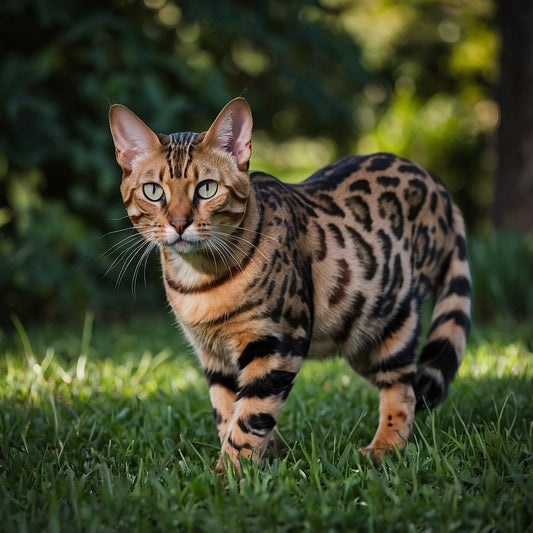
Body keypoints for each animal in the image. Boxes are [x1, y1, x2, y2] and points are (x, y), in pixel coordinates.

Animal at [108, 95, 470, 474]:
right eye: (153, 191)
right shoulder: (214, 358)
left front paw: (230, 475)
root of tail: (440, 186)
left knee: (403, 391)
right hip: (359, 335)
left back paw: (385, 448)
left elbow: (250, 417)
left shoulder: (278, 343)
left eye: (207, 188)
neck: (201, 279)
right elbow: (227, 413)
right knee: (411, 386)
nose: (179, 223)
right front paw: (263, 455)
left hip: (395, 318)